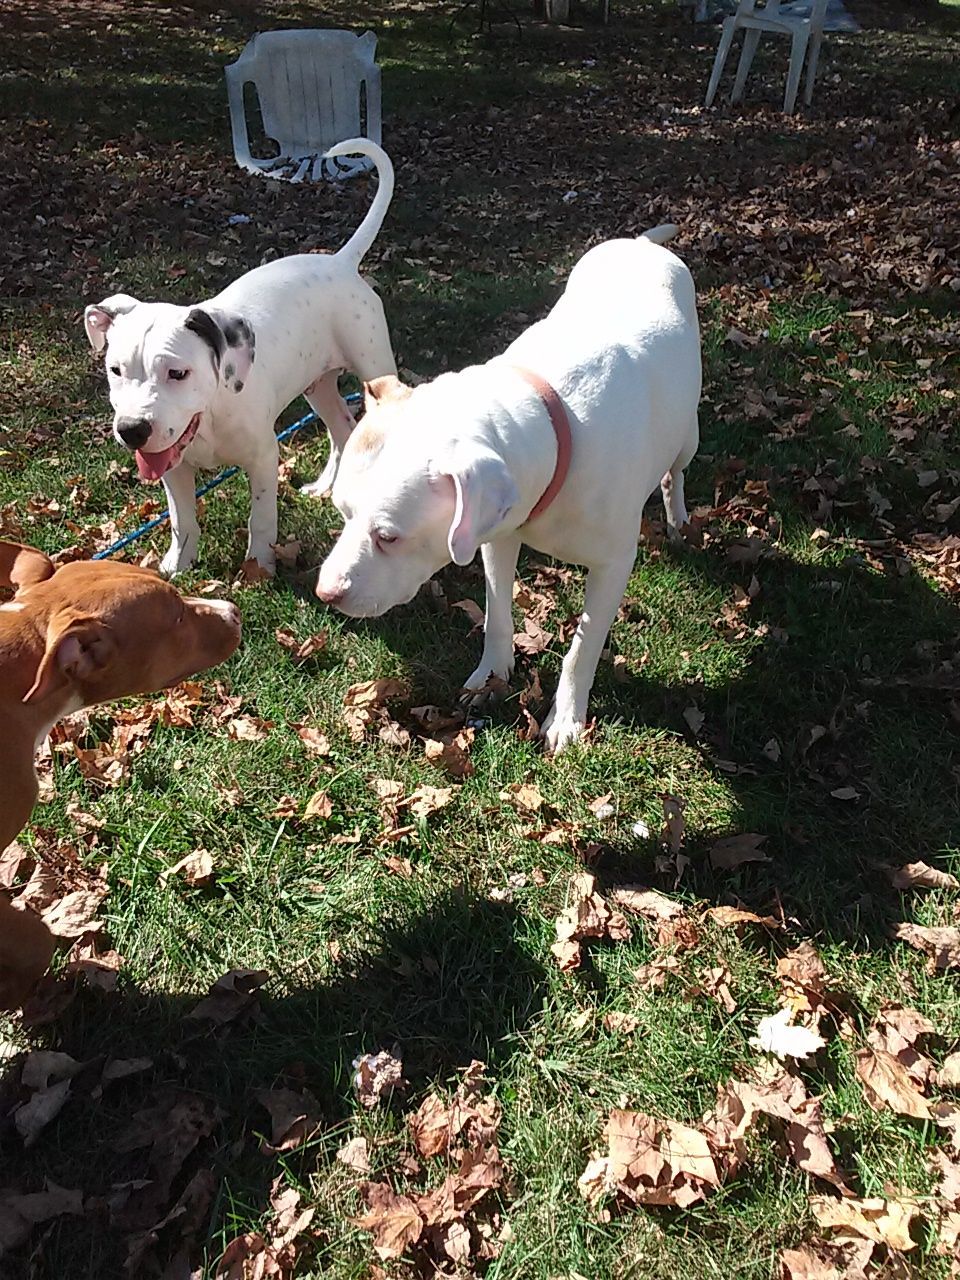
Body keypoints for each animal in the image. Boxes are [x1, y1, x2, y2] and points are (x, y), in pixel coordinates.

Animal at [83, 137, 399, 573]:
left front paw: (258, 570)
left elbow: (261, 519)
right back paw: (326, 486)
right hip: (315, 385)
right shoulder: (171, 465)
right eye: (115, 370)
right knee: (342, 429)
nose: (132, 430)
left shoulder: (264, 457)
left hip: (373, 364)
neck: (210, 416)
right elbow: (182, 520)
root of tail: (340, 262)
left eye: (178, 373)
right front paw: (177, 565)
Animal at [320, 226, 701, 752]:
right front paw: (492, 676)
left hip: (688, 437)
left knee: (676, 472)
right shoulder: (495, 536)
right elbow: (497, 611)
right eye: (341, 512)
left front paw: (565, 718)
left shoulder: (613, 565)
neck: (554, 421)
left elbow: (583, 647)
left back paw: (678, 516)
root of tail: (643, 244)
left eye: (389, 537)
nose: (325, 593)